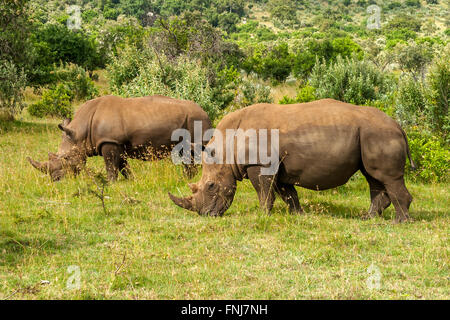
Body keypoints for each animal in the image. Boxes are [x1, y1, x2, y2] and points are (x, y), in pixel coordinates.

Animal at [26, 94, 213, 181]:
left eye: (65, 158)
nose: (56, 180)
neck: (80, 132)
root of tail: (205, 112)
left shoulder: (109, 142)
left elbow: (111, 166)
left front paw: (110, 183)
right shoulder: (117, 144)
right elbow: (123, 166)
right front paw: (132, 180)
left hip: (196, 120)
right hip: (191, 120)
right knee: (187, 153)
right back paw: (187, 178)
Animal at [169, 98, 414, 222]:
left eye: (211, 186)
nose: (206, 215)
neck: (226, 149)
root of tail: (398, 125)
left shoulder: (260, 164)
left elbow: (264, 192)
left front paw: (263, 215)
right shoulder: (279, 166)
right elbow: (288, 193)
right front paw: (298, 215)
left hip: (379, 134)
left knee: (387, 178)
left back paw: (399, 222)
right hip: (371, 135)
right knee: (373, 177)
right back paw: (367, 218)